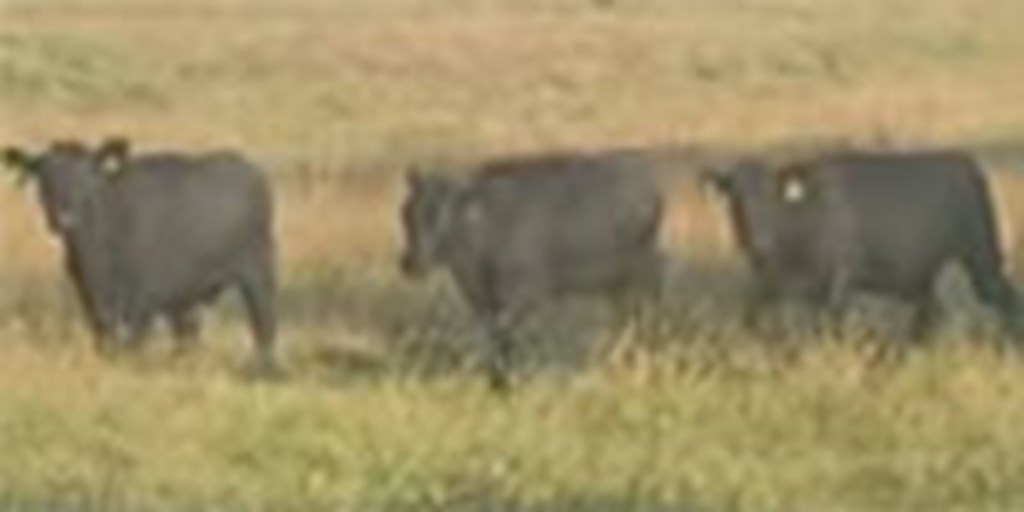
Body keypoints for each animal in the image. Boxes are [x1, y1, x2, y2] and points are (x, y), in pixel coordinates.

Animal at [2, 139, 278, 372]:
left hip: (258, 275)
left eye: (87, 175)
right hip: (186, 298)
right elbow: (104, 342)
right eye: (44, 176)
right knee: (187, 337)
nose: (64, 216)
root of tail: (247, 167)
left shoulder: (143, 304)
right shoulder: (92, 301)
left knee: (264, 328)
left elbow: (130, 348)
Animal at [395, 149, 667, 389]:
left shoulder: (524, 295)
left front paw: (504, 384)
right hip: (615, 286)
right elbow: (493, 341)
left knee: (645, 320)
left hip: (643, 274)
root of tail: (653, 193)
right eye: (406, 212)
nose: (409, 262)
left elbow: (505, 339)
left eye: (440, 213)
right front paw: (495, 383)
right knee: (628, 323)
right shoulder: (484, 304)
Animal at [708, 148, 1019, 339]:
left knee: (1006, 299)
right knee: (931, 314)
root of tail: (965, 162)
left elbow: (831, 327)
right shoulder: (770, 286)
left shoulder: (839, 279)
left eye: (770, 195)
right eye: (735, 199)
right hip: (924, 276)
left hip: (981, 255)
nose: (760, 243)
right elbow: (754, 321)